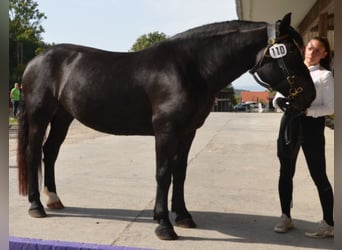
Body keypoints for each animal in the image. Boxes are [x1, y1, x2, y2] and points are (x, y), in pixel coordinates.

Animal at [16, 13, 316, 240]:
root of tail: (34, 61)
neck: (190, 68)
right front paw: (163, 225)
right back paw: (36, 206)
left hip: (63, 117)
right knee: (33, 153)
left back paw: (54, 199)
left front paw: (182, 216)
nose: (310, 96)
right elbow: (163, 173)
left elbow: (179, 172)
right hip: (40, 116)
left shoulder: (187, 132)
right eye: (290, 53)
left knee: (50, 152)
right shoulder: (166, 130)